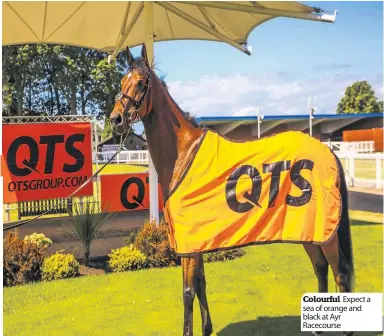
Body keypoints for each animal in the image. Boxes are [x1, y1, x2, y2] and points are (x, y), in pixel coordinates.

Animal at [108, 44, 354, 336]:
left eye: (140, 82)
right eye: (121, 82)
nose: (116, 119)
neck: (183, 153)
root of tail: (328, 151)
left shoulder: (189, 245)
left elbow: (188, 291)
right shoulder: (197, 240)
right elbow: (200, 284)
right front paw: (207, 328)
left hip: (326, 234)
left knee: (341, 273)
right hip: (308, 229)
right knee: (320, 268)